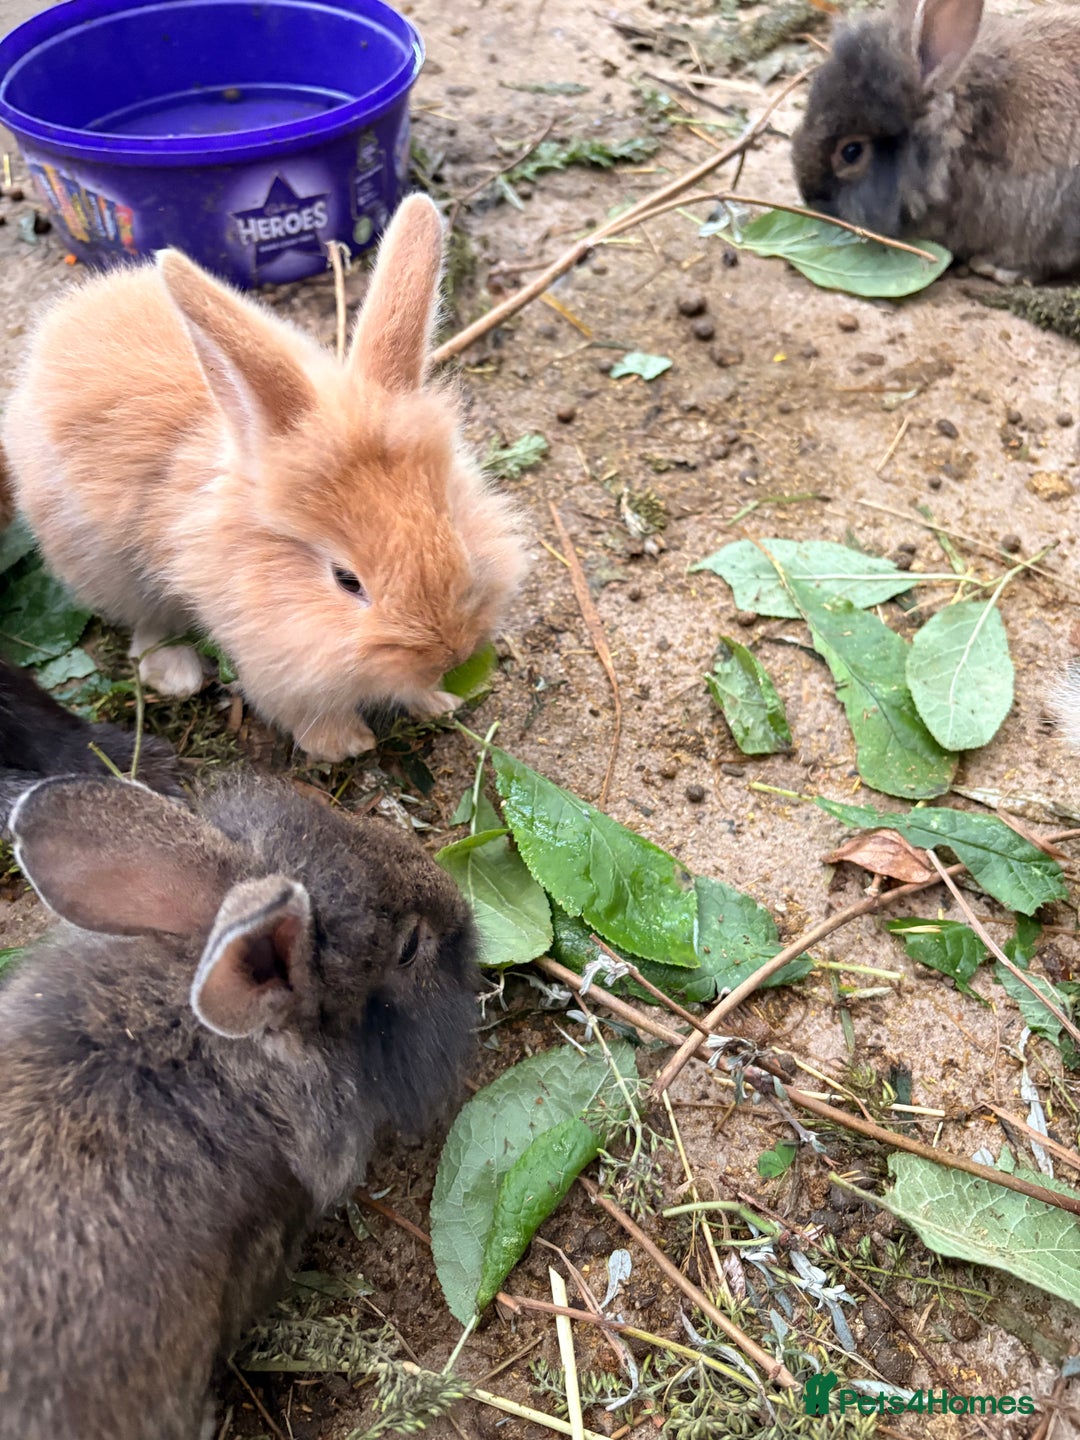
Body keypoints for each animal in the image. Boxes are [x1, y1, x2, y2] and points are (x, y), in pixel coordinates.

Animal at [1, 193, 527, 762]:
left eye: (456, 531)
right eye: (346, 580)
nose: (450, 653)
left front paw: (438, 701)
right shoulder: (268, 653)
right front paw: (344, 745)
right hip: (101, 566)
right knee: (146, 623)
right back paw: (176, 675)